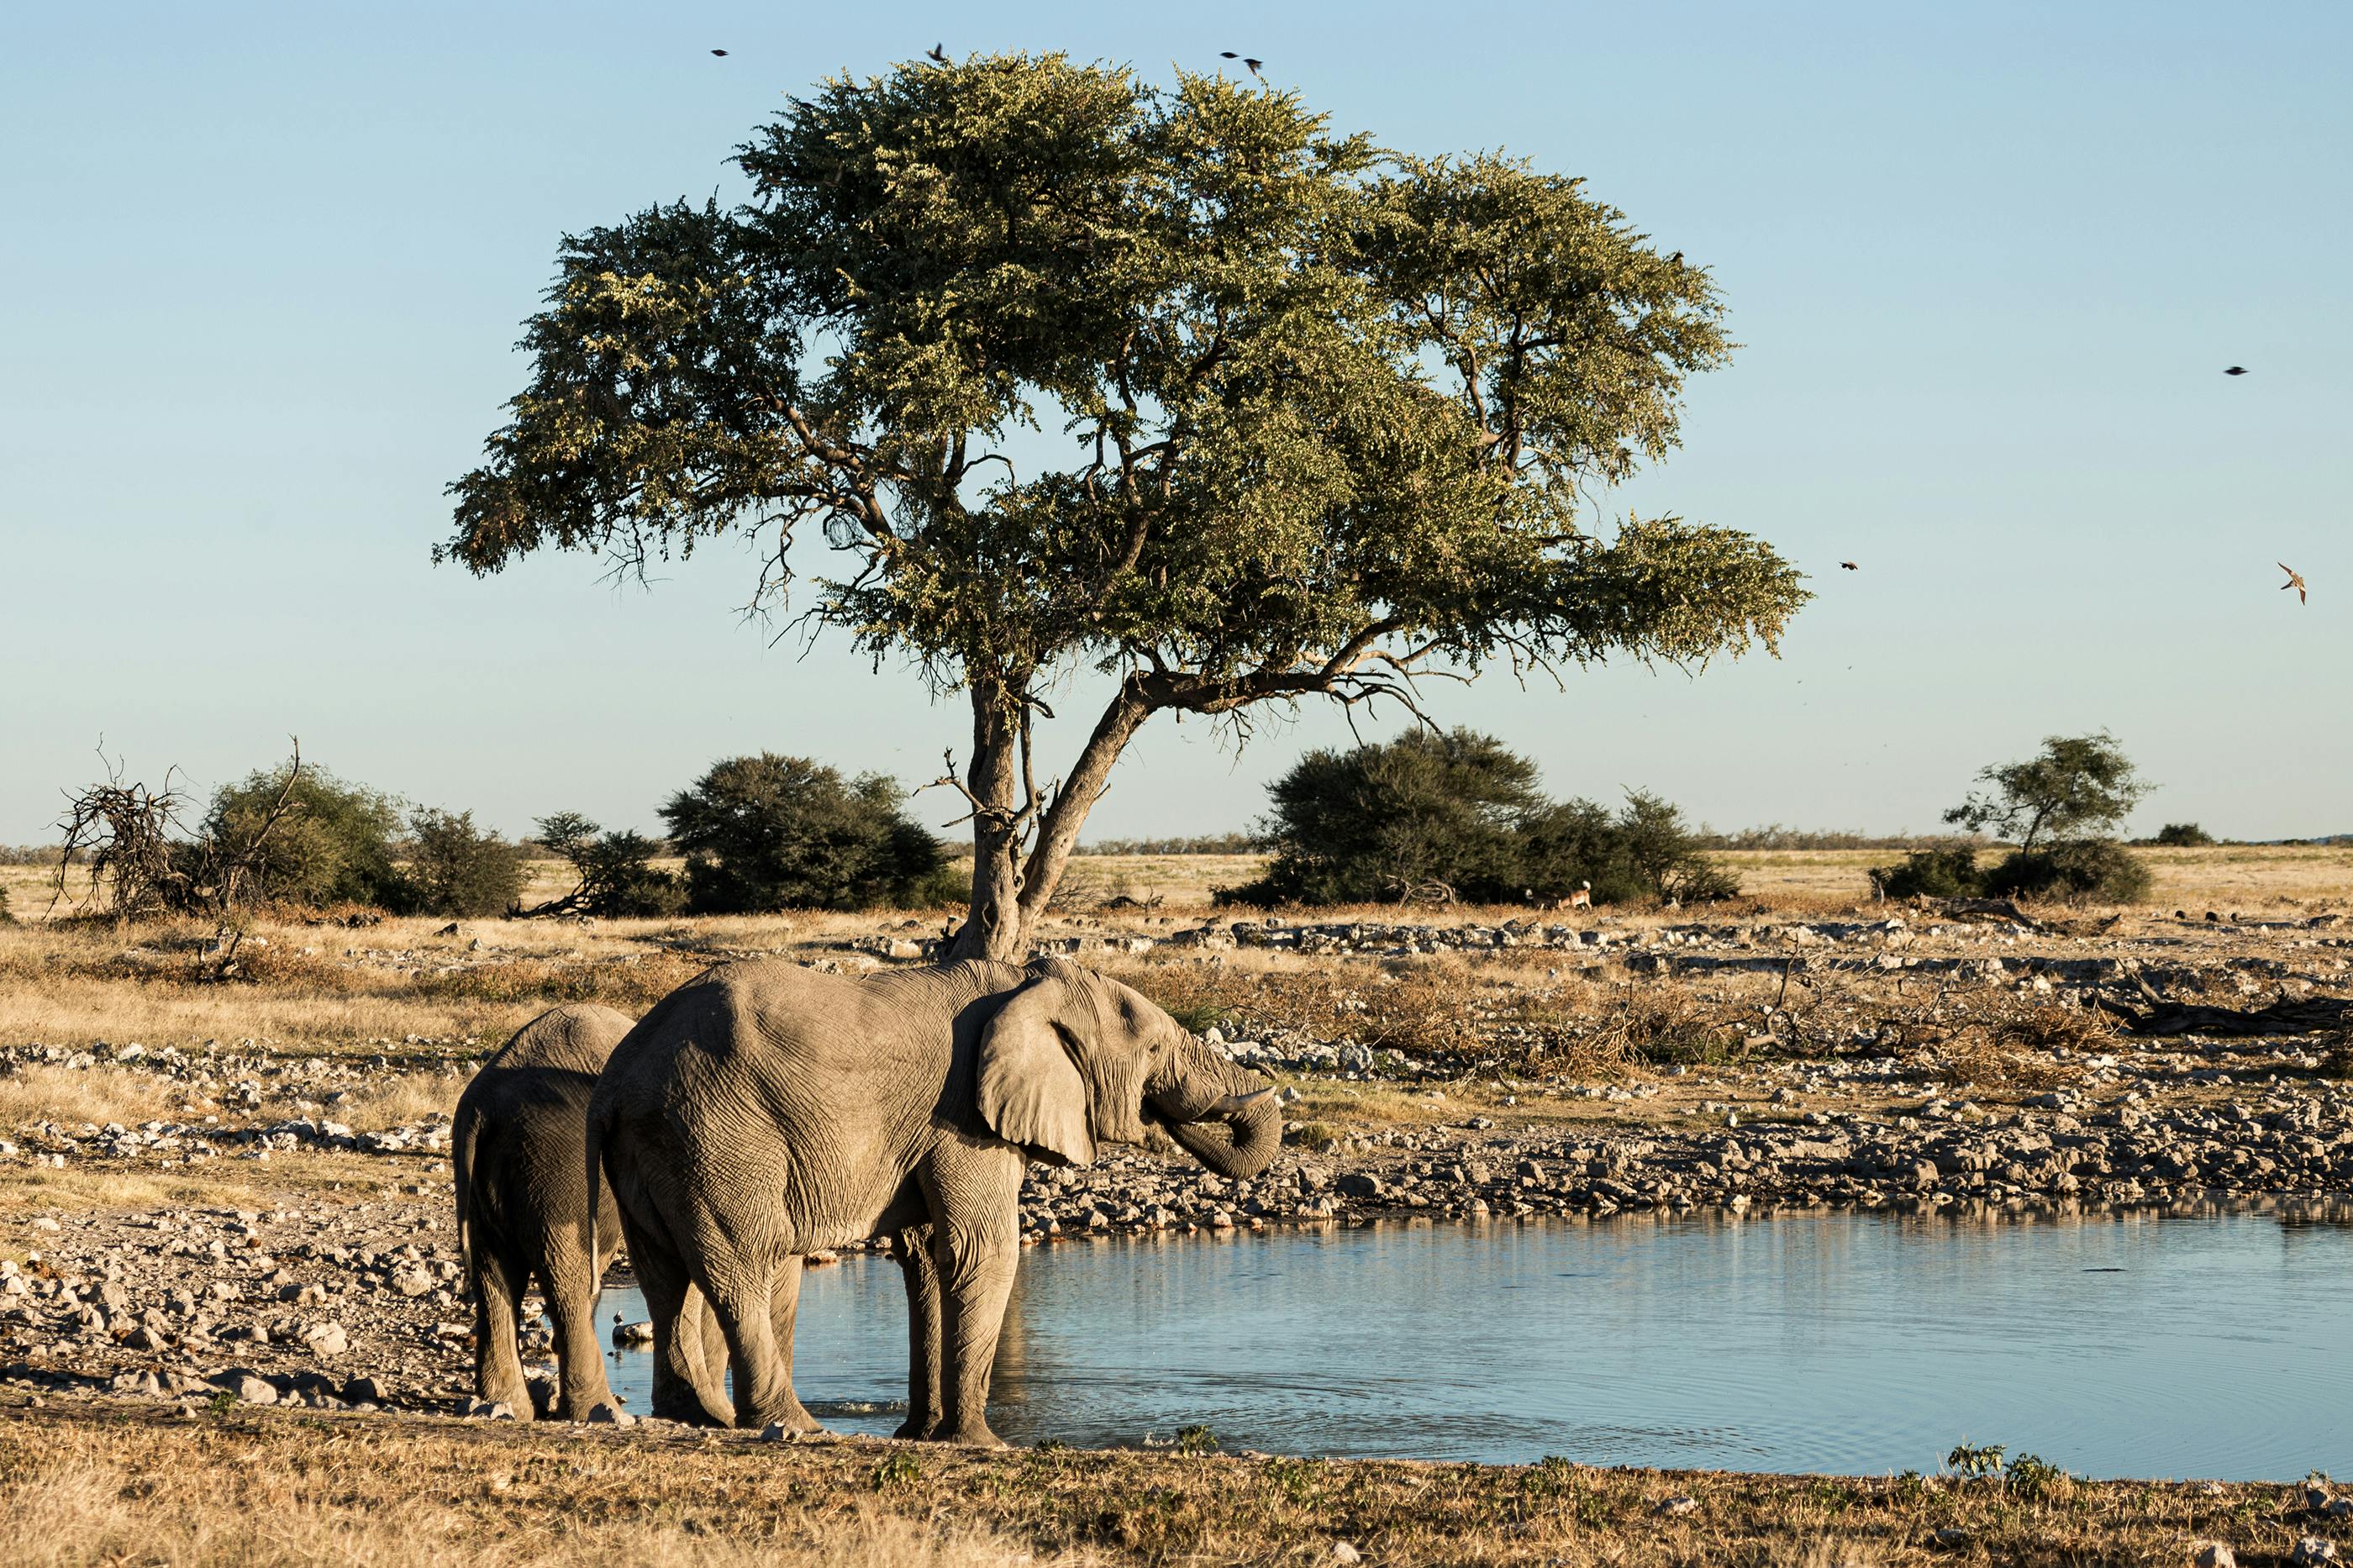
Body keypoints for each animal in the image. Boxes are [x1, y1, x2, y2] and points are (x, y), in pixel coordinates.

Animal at [588, 955, 1282, 1444]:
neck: (1027, 985)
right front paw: (982, 1443)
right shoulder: (966, 1118)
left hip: (656, 1145)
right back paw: (794, 1425)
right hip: (715, 1132)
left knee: (664, 1273)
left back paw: (697, 1416)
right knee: (744, 1265)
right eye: (1155, 1050)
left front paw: (921, 1434)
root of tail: (616, 1079)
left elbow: (925, 1258)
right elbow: (982, 1250)